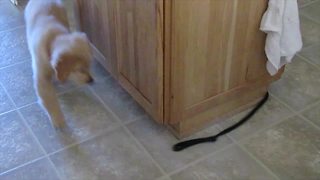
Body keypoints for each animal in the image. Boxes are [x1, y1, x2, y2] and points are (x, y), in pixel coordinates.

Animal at [24, 0, 92, 129]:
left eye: (89, 66)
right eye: (80, 69)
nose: (91, 81)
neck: (53, 37)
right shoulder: (41, 77)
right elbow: (50, 99)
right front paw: (58, 119)